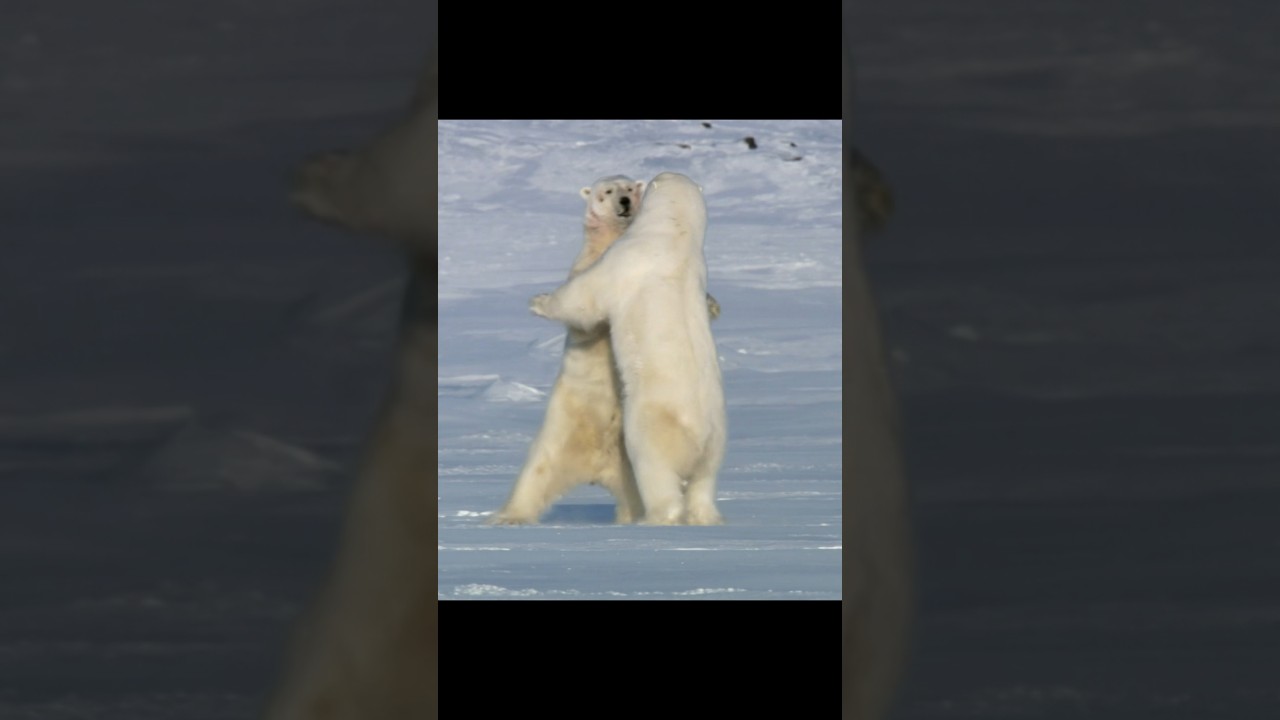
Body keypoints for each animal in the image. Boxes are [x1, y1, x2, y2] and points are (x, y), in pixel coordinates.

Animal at [491, 175, 721, 525]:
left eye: (631, 188)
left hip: (648, 431)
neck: (676, 236)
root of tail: (597, 467)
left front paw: (538, 301)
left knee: (655, 475)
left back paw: (652, 517)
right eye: (608, 192)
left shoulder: (621, 263)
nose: (624, 202)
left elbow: (583, 301)